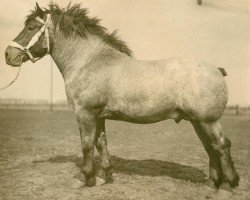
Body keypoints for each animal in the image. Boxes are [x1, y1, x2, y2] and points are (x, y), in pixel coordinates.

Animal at [4, 2, 238, 191]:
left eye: (31, 28)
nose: (8, 54)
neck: (88, 60)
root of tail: (217, 69)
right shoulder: (99, 116)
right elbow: (101, 143)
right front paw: (103, 177)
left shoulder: (85, 113)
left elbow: (86, 144)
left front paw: (82, 178)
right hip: (198, 122)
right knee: (210, 148)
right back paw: (212, 184)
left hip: (208, 121)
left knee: (222, 145)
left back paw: (227, 186)